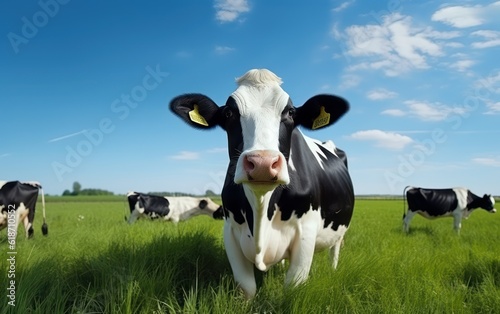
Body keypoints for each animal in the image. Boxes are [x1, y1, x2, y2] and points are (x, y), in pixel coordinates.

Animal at [170, 67, 354, 298]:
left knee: (335, 250)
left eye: (290, 112)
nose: (262, 163)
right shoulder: (230, 231)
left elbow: (293, 286)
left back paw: (333, 269)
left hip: (340, 230)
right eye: (229, 113)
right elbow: (247, 287)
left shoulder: (306, 232)